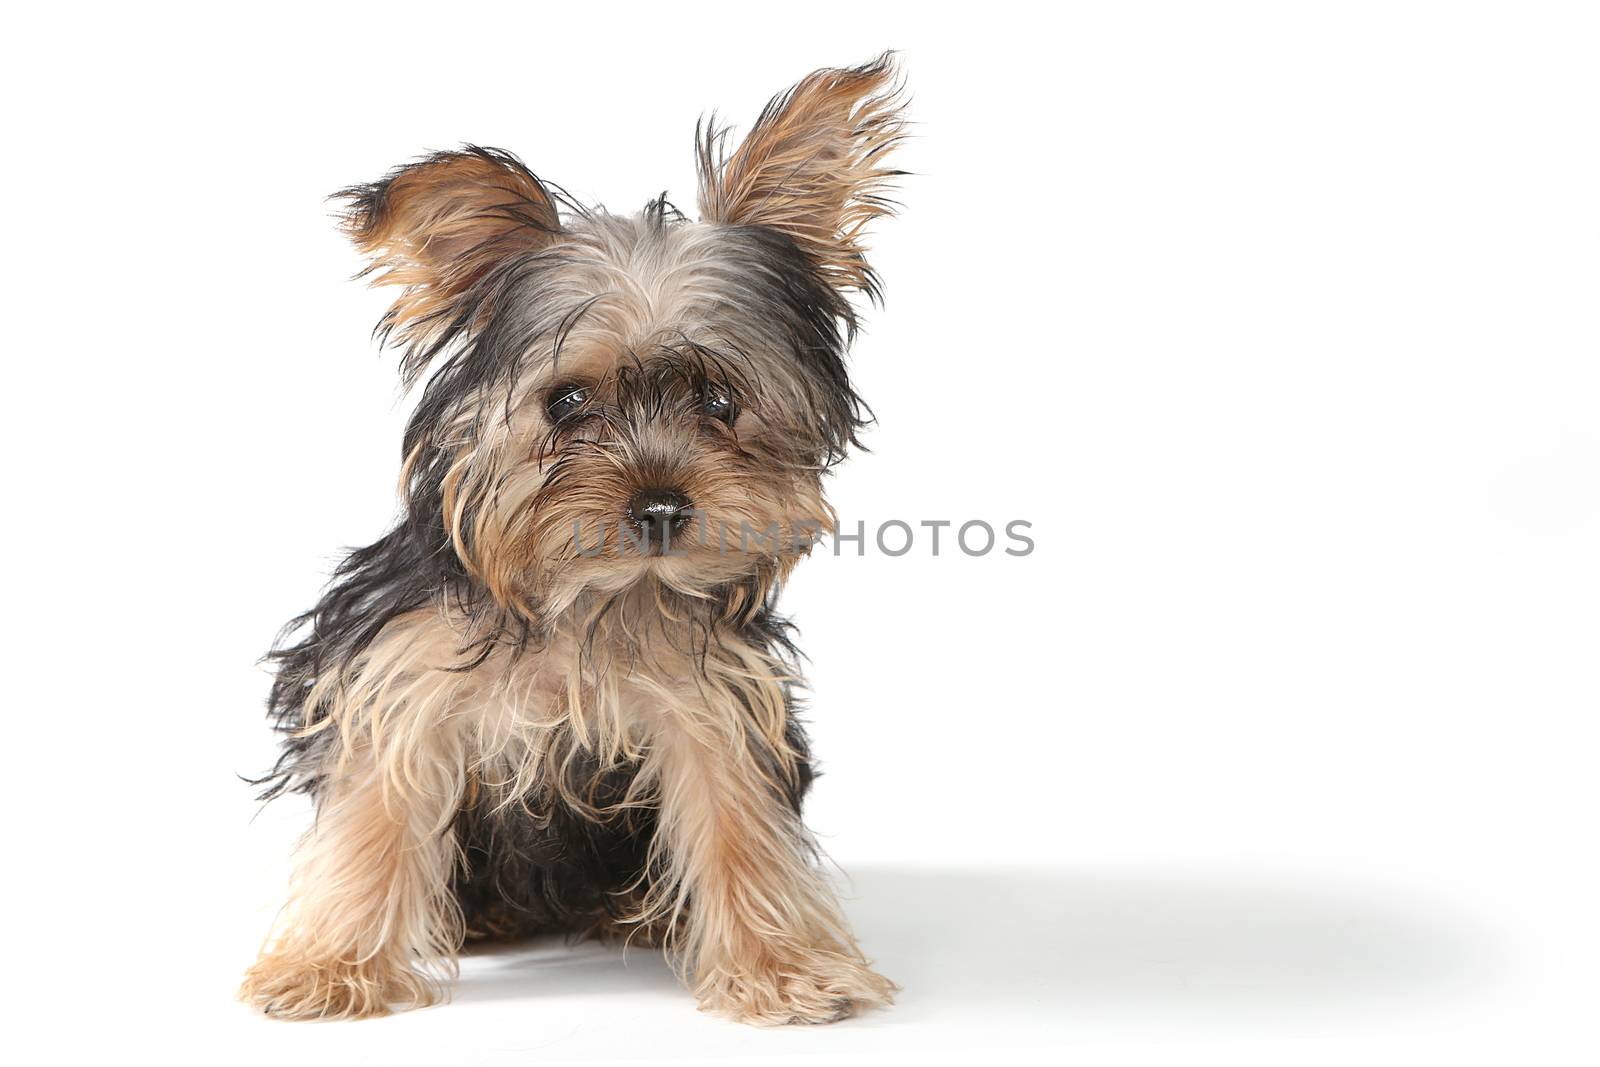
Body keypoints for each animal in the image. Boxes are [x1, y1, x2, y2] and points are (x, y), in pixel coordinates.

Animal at [241, 56, 908, 1023]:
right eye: (566, 402)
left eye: (720, 400)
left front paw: (783, 965)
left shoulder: (712, 701)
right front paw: (331, 966)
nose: (661, 506)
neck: (589, 592)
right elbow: (376, 814)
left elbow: (739, 820)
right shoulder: (401, 678)